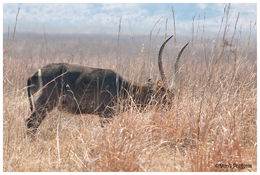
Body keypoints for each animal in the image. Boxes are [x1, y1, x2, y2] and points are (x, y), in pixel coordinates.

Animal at [25, 36, 189, 134]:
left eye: (172, 96)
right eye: (164, 95)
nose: (170, 109)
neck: (124, 87)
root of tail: (33, 76)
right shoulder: (106, 115)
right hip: (45, 104)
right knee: (30, 123)